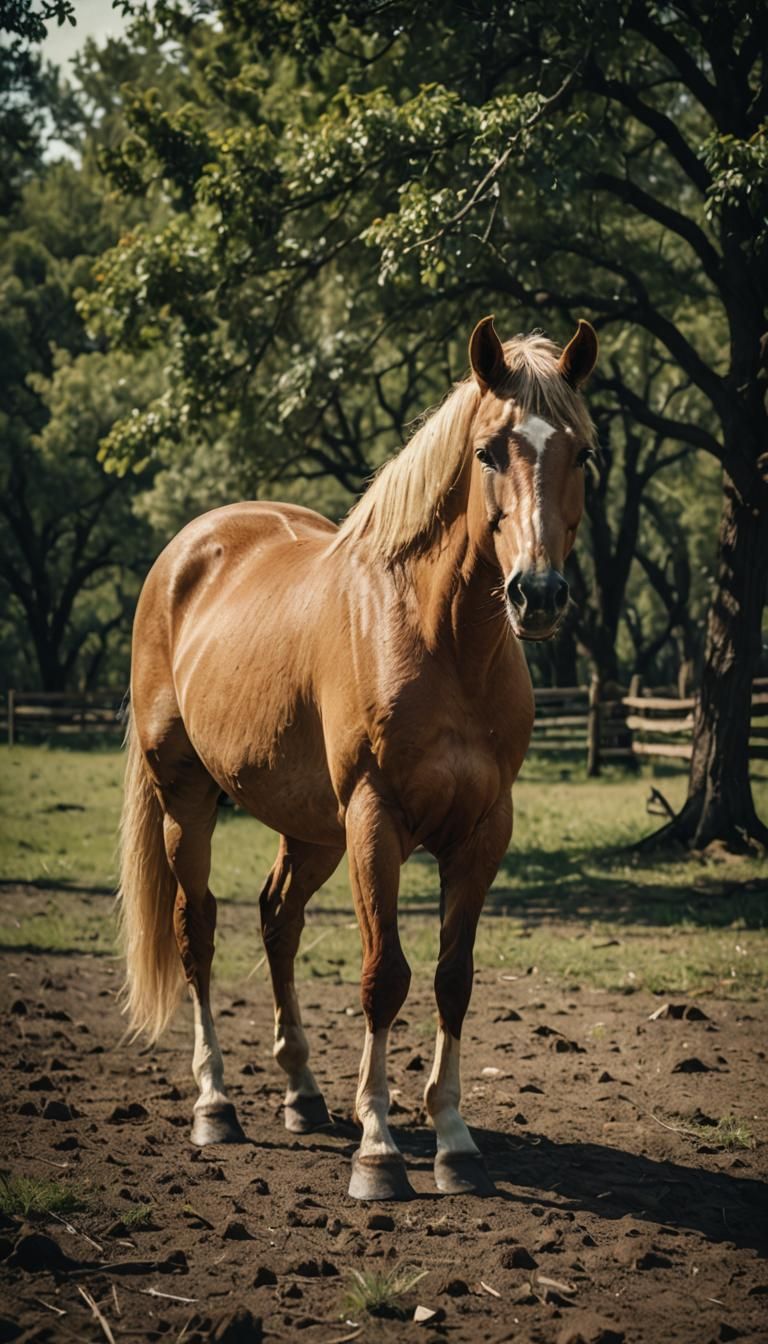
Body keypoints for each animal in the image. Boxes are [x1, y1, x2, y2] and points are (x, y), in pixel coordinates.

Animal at [118, 314, 598, 1201]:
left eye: (581, 452)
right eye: (488, 451)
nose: (538, 596)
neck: (441, 640)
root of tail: (190, 549)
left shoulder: (483, 832)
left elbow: (452, 978)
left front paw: (453, 1142)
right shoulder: (377, 821)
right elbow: (384, 978)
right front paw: (379, 1149)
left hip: (312, 829)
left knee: (278, 918)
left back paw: (302, 1096)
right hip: (188, 800)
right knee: (197, 932)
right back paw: (215, 1105)